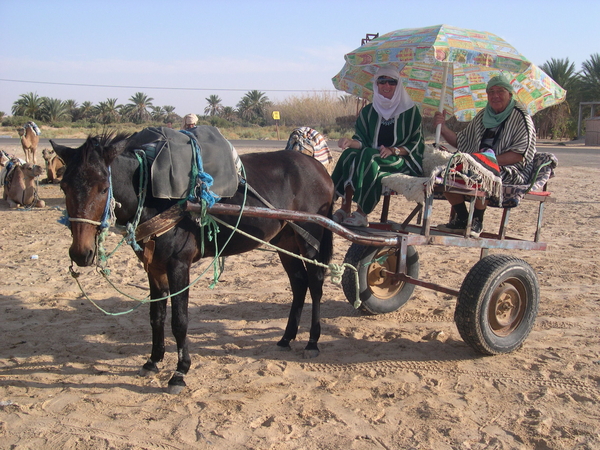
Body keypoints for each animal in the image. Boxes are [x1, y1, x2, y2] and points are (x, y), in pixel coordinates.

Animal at [51, 131, 336, 394]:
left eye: (102, 187)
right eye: (64, 187)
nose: (80, 253)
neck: (152, 195)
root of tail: (319, 167)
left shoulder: (179, 265)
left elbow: (179, 321)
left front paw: (179, 372)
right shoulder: (153, 268)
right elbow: (156, 316)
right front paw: (153, 361)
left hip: (310, 241)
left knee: (315, 284)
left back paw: (312, 341)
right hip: (286, 243)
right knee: (299, 284)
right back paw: (287, 337)